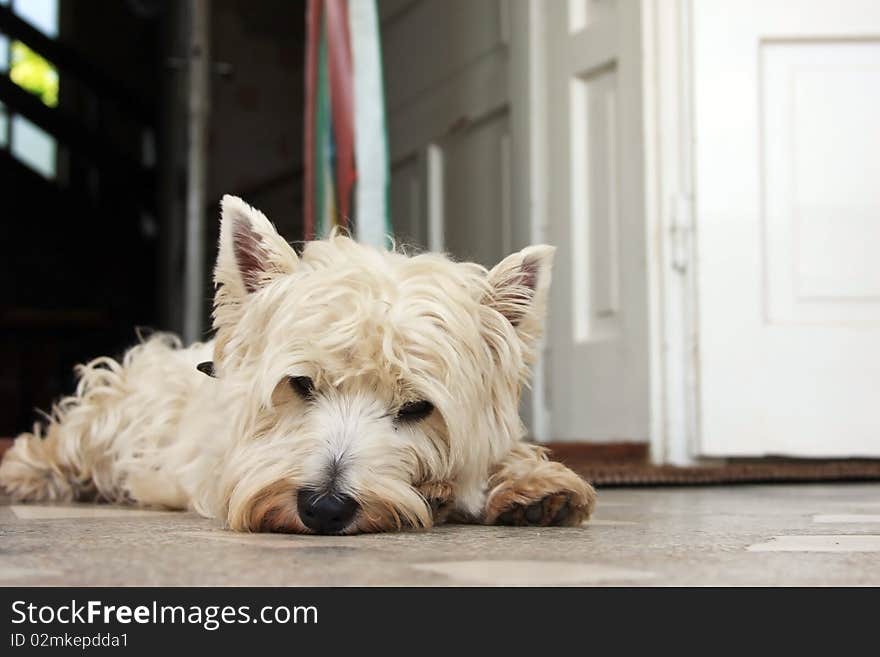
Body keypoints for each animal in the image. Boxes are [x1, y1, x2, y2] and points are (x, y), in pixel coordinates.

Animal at [0, 195, 596, 532]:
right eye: (301, 383)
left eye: (417, 408)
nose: (324, 510)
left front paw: (533, 489)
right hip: (108, 417)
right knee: (59, 445)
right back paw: (24, 475)